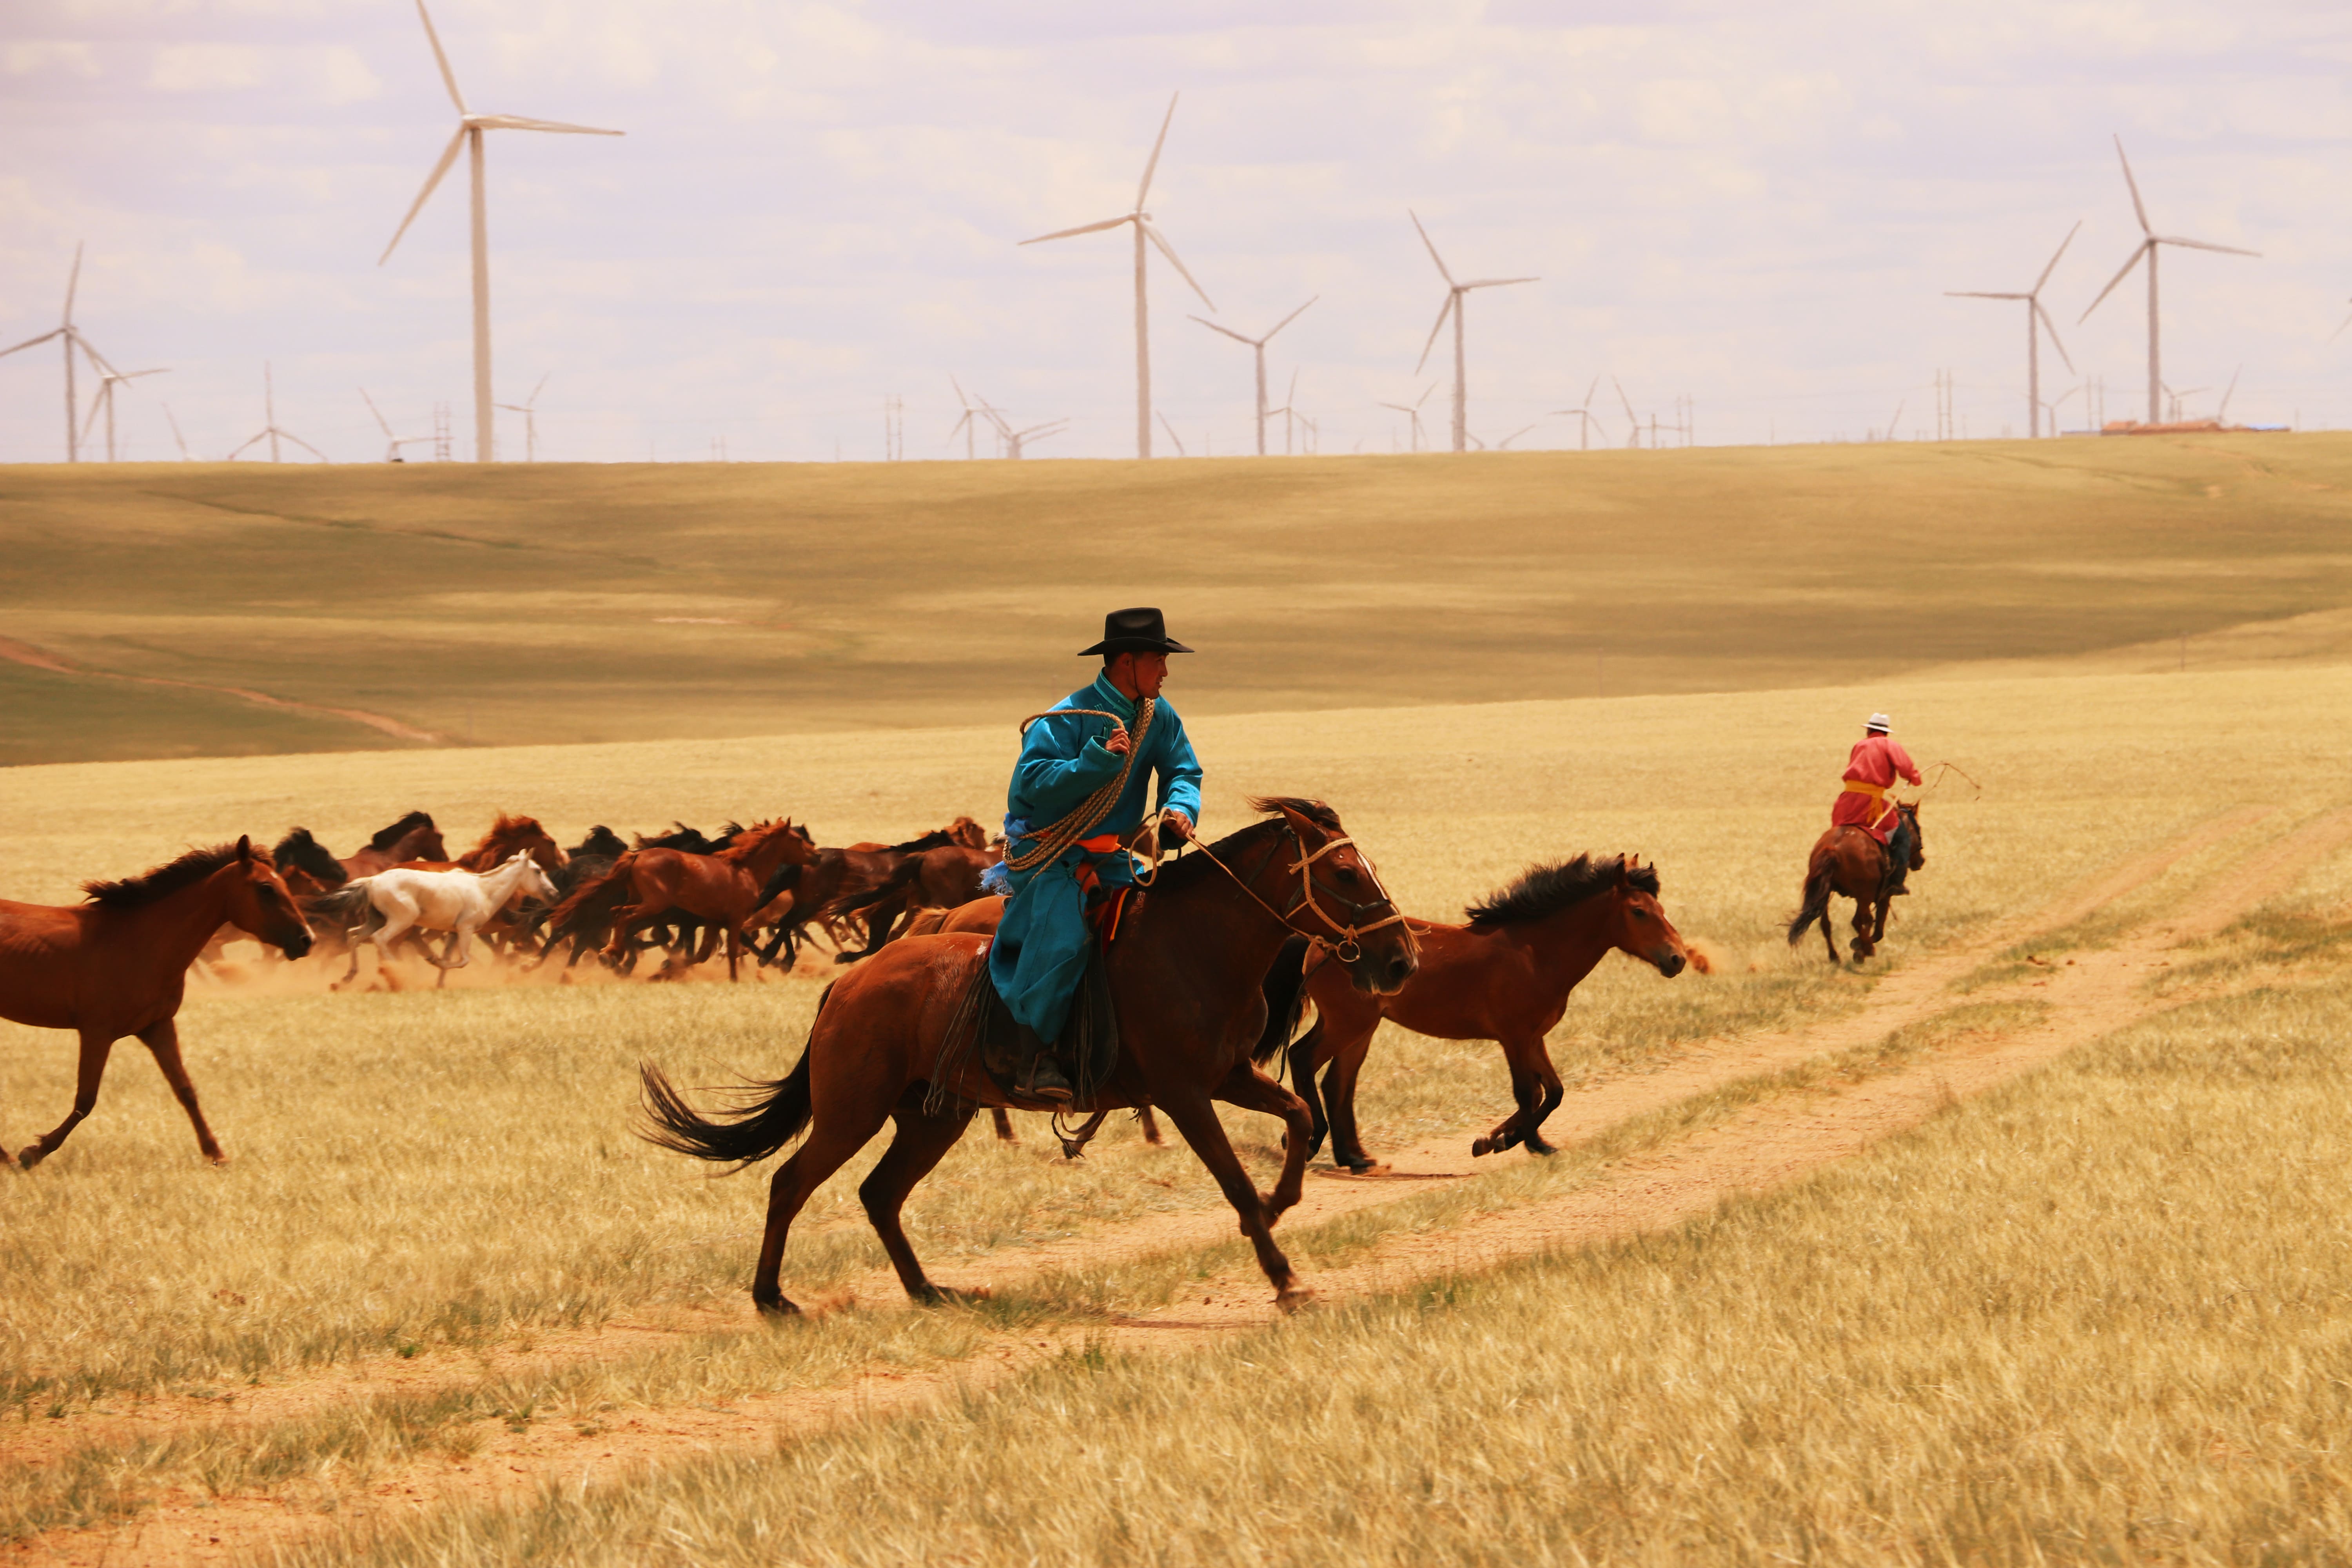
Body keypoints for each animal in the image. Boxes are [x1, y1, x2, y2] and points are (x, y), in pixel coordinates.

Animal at [0, 846, 313, 1166]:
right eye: (266, 888)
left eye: (285, 884)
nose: (307, 939)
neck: (138, 942)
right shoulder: (96, 1033)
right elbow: (85, 1100)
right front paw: (34, 1152)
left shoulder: (157, 1027)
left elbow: (185, 1090)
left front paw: (216, 1153)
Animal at [325, 851, 557, 987]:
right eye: (538, 871)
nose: (554, 894)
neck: (484, 890)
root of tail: (372, 881)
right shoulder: (466, 930)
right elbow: (463, 961)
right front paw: (435, 964)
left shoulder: (453, 932)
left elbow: (448, 957)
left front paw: (439, 978)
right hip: (400, 922)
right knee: (380, 940)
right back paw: (397, 975)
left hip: (376, 920)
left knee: (354, 936)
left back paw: (348, 976)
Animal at [640, 799, 1411, 1316]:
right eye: (1346, 873)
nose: (1401, 957)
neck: (1194, 946)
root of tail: (850, 985)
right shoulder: (1185, 1094)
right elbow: (1235, 1183)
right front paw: (1284, 1276)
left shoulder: (1229, 1077)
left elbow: (1298, 1119)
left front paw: (1282, 1207)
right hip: (850, 1113)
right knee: (790, 1184)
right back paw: (772, 1298)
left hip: (933, 1117)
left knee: (879, 1194)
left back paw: (927, 1290)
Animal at [1279, 860, 1703, 1175]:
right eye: (1639, 912)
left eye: (1661, 910)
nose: (1677, 958)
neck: (1536, 953)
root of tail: (1322, 942)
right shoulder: (1513, 1036)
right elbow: (1528, 1092)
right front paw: (1520, 1143)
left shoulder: (1534, 1037)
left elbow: (1553, 1091)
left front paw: (1501, 1140)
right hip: (1347, 1024)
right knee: (1303, 1059)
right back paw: (1309, 1141)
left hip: (1361, 1029)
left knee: (1338, 1083)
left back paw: (1356, 1158)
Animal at [1778, 804, 1929, 964]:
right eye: (1918, 827)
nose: (1921, 861)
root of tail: (1833, 848)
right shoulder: (1883, 896)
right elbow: (1878, 929)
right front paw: (1859, 947)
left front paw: (1858, 946)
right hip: (1864, 896)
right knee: (1861, 921)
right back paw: (1867, 950)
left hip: (1827, 894)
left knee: (1827, 924)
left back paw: (1835, 957)